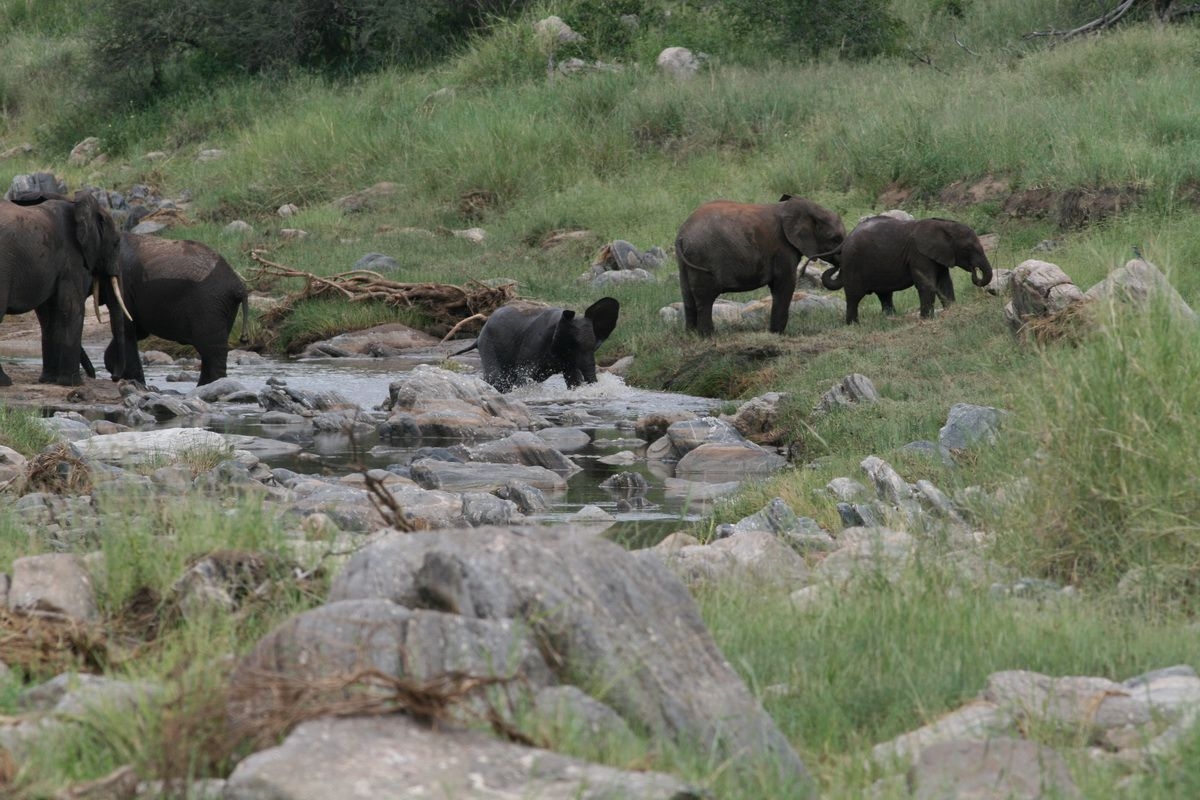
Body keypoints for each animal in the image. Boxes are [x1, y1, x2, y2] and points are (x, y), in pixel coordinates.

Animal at [0, 190, 130, 383]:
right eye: (116, 243)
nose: (114, 377)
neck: (75, 203)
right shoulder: (71, 257)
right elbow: (72, 308)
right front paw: (74, 384)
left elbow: (50, 314)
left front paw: (49, 380)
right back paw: (5, 382)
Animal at [89, 232, 253, 386]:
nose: (115, 377)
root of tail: (239, 287)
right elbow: (137, 331)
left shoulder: (123, 283)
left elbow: (127, 327)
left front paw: (135, 382)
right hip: (224, 308)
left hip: (210, 304)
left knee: (210, 350)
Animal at [458, 297, 624, 393]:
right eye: (573, 345)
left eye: (595, 347)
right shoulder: (534, 344)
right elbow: (524, 376)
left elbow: (573, 377)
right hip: (488, 343)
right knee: (496, 377)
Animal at [676, 195, 844, 335]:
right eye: (835, 239)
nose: (835, 265)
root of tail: (682, 235)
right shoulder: (782, 248)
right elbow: (784, 284)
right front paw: (777, 334)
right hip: (702, 255)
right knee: (705, 298)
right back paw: (708, 336)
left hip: (685, 260)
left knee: (687, 295)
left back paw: (691, 335)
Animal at [820, 215, 998, 326]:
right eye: (968, 249)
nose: (975, 271)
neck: (944, 225)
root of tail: (845, 241)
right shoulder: (919, 254)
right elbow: (927, 284)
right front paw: (926, 319)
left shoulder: (938, 255)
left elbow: (945, 283)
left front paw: (952, 310)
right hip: (853, 263)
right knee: (854, 296)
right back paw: (854, 325)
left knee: (885, 295)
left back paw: (890, 318)